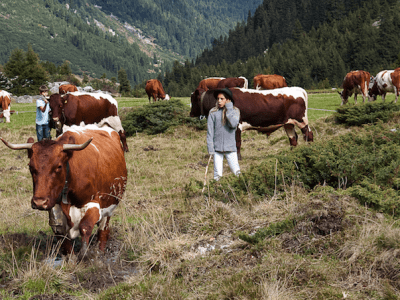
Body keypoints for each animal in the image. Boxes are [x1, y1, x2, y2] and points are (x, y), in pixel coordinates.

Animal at [0, 124, 127, 258]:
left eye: (59, 166)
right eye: (30, 167)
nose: (39, 202)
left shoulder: (93, 203)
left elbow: (85, 226)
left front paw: (84, 254)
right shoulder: (55, 207)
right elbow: (60, 233)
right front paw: (70, 257)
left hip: (110, 206)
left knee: (103, 230)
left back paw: (101, 252)